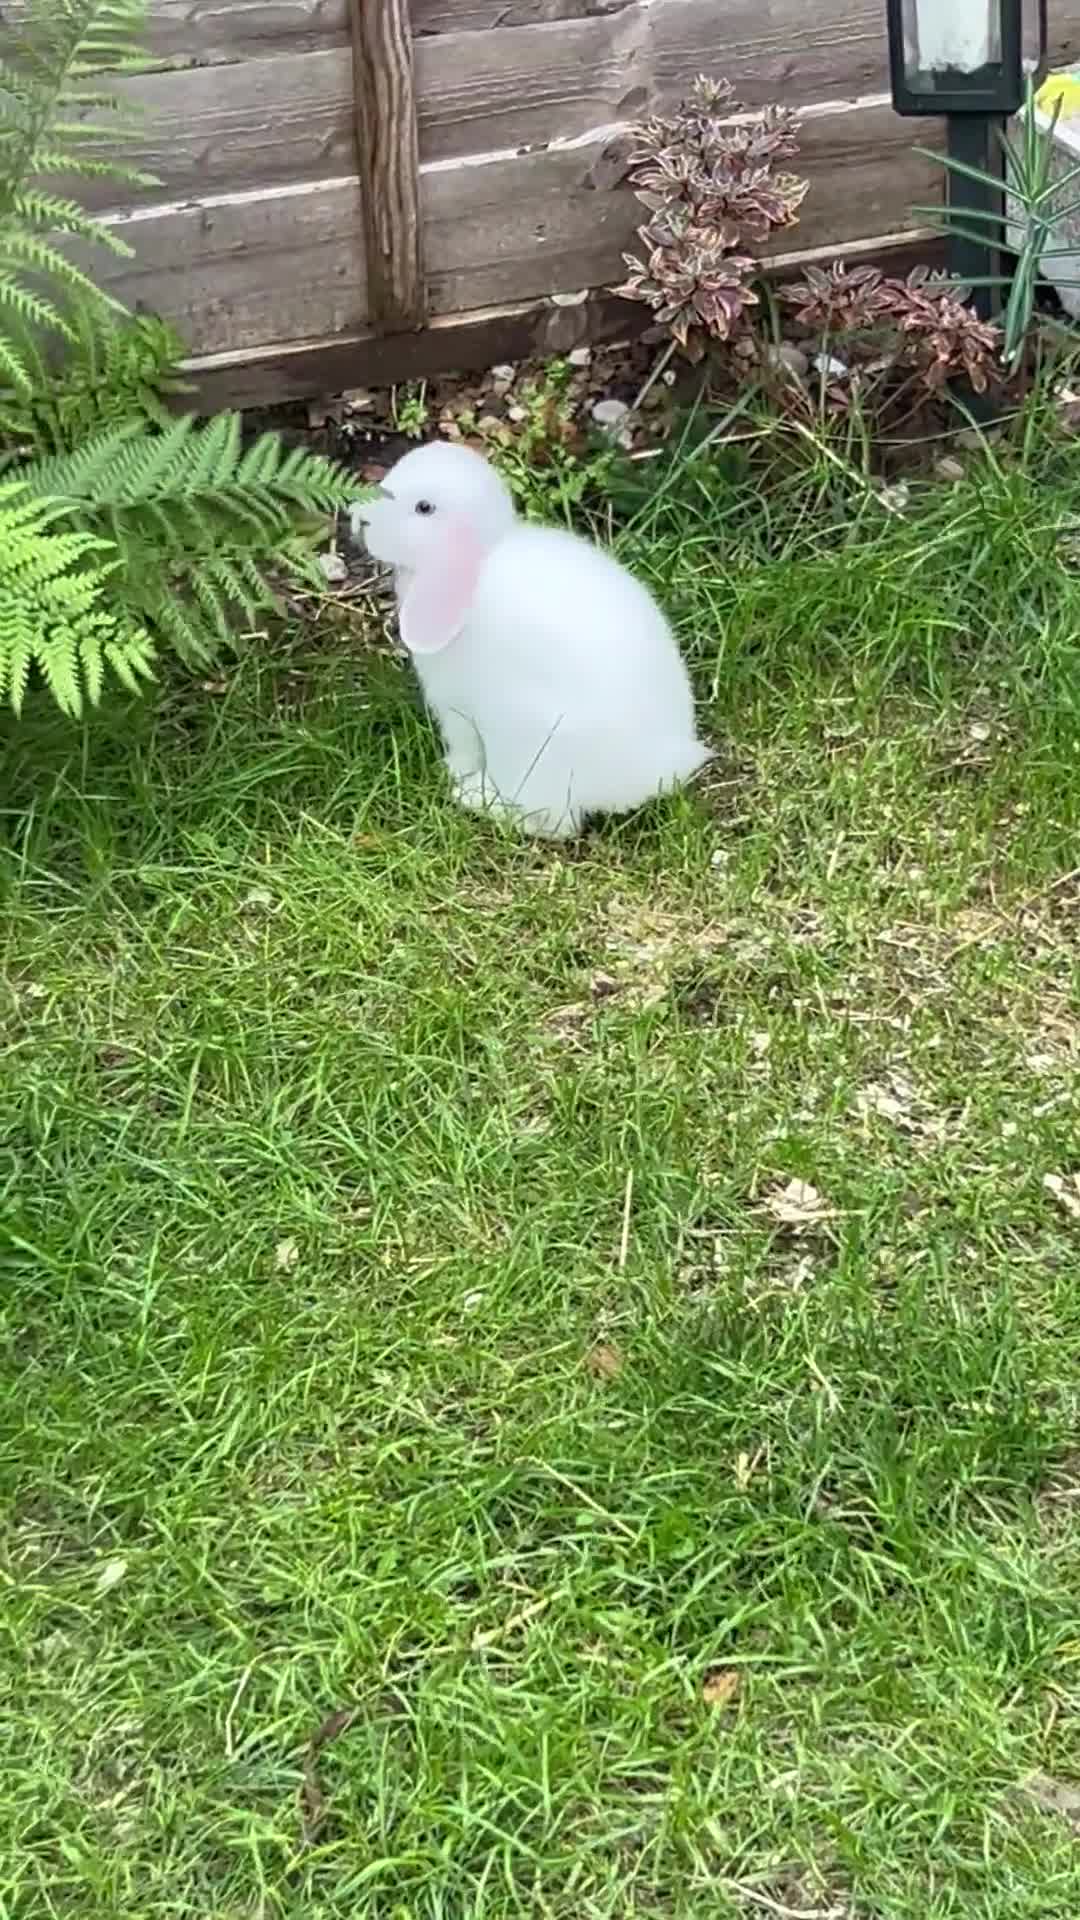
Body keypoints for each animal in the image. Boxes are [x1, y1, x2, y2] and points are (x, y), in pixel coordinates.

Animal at [351, 439, 710, 838]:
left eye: (424, 508)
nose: (359, 519)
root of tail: (654, 772)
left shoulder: (456, 707)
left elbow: (464, 747)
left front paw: (453, 771)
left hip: (526, 741)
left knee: (553, 822)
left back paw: (475, 798)